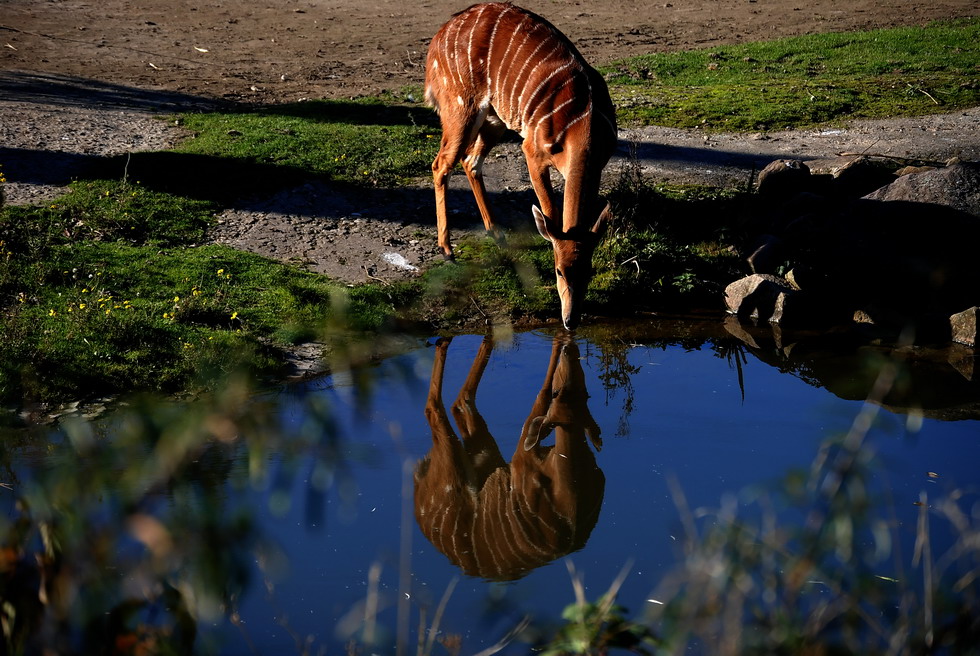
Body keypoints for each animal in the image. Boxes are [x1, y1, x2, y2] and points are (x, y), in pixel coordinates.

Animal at [424, 0, 616, 328]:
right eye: (558, 270)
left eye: (590, 270)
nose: (570, 320)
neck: (582, 126)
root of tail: (438, 37)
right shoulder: (533, 152)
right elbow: (550, 212)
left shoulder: (600, 163)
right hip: (460, 108)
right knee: (441, 164)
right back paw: (447, 250)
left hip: (495, 120)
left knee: (471, 161)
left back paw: (496, 233)